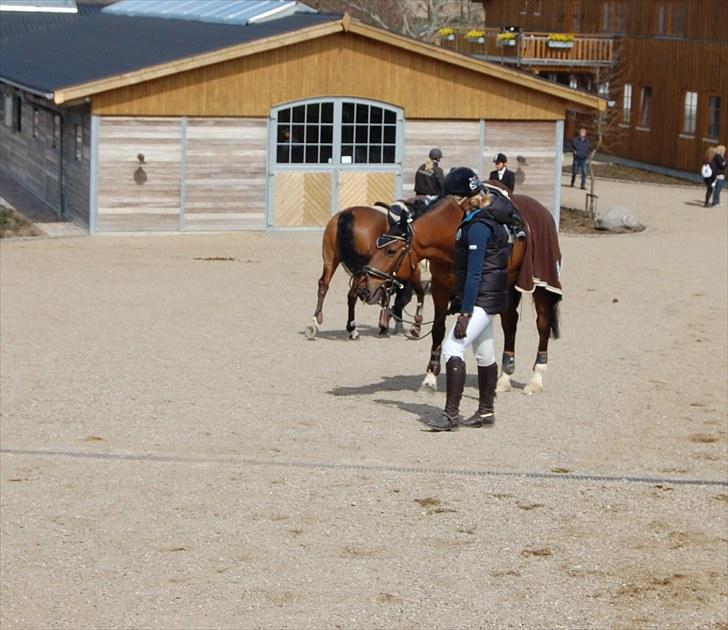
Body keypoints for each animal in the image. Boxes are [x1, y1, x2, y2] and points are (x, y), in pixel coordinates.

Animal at [302, 207, 426, 340]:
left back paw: (314, 323)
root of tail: (348, 213)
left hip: (330, 260)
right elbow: (409, 295)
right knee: (352, 293)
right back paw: (352, 329)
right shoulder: (408, 273)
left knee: (324, 285)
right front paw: (386, 325)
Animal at [362, 193, 564, 396]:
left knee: (543, 324)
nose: (366, 288)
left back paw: (535, 379)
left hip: (540, 285)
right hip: (509, 284)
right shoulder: (440, 287)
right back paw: (504, 378)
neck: (450, 234)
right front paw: (430, 378)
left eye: (391, 251)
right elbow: (438, 330)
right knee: (510, 323)